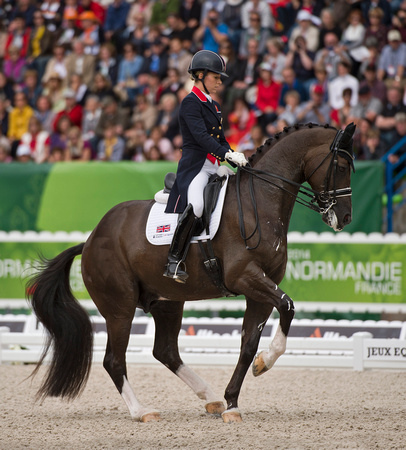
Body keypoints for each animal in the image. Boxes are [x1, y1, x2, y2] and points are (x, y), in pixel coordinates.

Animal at [29, 122, 356, 422]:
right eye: (340, 166)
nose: (344, 218)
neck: (259, 203)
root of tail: (91, 239)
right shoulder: (245, 277)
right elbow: (287, 307)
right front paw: (265, 362)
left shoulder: (262, 289)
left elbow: (249, 343)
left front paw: (235, 400)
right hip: (119, 307)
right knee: (114, 360)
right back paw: (142, 411)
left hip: (167, 302)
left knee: (165, 351)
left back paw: (211, 398)